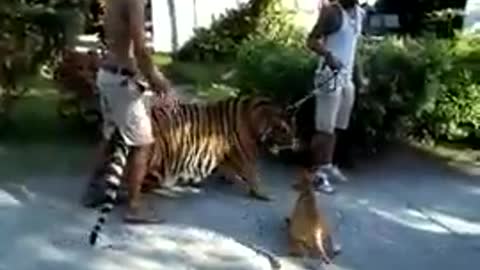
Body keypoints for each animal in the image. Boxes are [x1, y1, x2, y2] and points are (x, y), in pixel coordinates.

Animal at [88, 95, 300, 247]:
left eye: (293, 127)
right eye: (283, 129)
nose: (294, 143)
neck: (254, 118)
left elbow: (231, 170)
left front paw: (230, 179)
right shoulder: (245, 157)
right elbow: (254, 175)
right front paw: (264, 194)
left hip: (113, 148)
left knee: (106, 171)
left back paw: (93, 194)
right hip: (150, 156)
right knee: (132, 184)